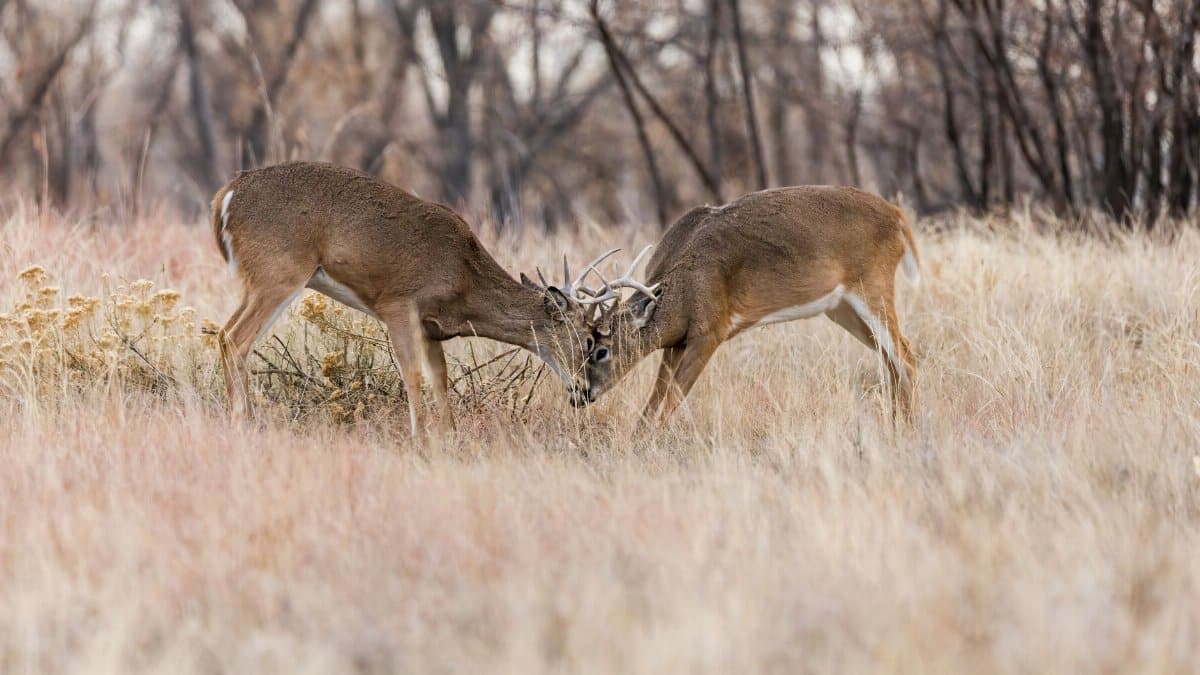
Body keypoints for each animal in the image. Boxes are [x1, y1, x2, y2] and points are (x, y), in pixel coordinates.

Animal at [210, 161, 610, 436]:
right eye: (589, 340)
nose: (585, 393)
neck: (463, 277)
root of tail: (226, 196)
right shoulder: (398, 303)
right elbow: (412, 373)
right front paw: (420, 437)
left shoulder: (431, 328)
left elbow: (439, 379)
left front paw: (449, 434)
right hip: (279, 272)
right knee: (233, 338)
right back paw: (243, 421)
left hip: (262, 280)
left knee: (225, 335)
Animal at [572, 186, 920, 423]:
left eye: (601, 350)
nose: (580, 393)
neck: (683, 286)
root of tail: (897, 216)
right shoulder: (675, 342)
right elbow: (653, 402)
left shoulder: (710, 331)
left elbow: (671, 400)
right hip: (841, 308)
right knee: (891, 361)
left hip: (872, 286)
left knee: (906, 356)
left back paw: (904, 430)